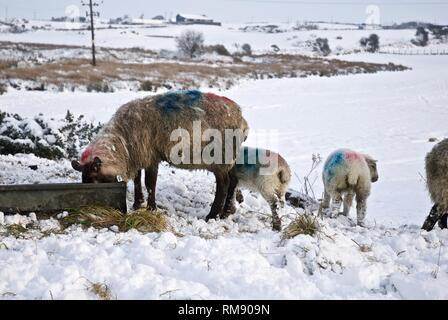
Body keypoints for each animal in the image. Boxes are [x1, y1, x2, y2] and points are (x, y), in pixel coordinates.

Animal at [72, 89, 250, 220]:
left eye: (94, 180)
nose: (91, 207)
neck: (122, 142)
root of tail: (241, 119)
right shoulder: (139, 155)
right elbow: (137, 180)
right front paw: (138, 204)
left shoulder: (150, 155)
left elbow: (150, 183)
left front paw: (151, 208)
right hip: (230, 156)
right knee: (233, 180)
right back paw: (227, 212)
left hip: (219, 155)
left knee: (224, 184)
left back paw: (212, 215)